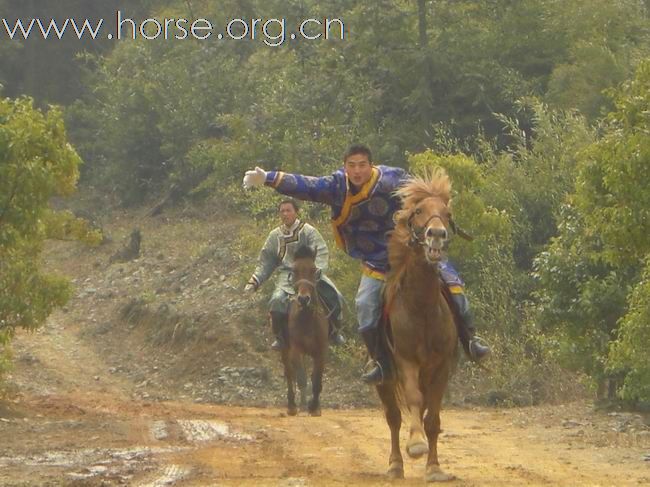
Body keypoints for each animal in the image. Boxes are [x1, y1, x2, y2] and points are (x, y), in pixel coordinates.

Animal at [280, 246, 330, 418]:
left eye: (313, 270)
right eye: (294, 270)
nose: (303, 299)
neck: (307, 320)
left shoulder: (321, 351)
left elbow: (316, 380)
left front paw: (315, 407)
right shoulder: (296, 350)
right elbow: (301, 378)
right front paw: (303, 405)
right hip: (284, 349)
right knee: (290, 374)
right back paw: (292, 405)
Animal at [374, 170, 456, 482]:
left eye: (447, 213)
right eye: (418, 211)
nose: (436, 234)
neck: (421, 308)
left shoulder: (441, 366)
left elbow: (432, 418)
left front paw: (433, 467)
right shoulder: (405, 361)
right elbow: (412, 400)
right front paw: (417, 445)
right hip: (384, 377)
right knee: (394, 417)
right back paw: (395, 464)